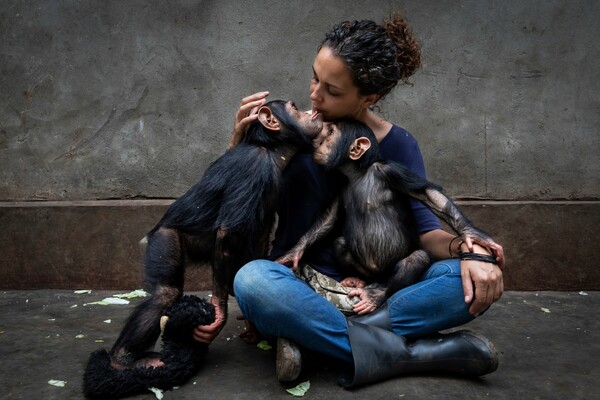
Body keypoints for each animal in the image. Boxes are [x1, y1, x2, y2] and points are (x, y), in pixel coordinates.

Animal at [102, 101, 324, 372]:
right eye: (294, 107)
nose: (310, 111)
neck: (274, 152)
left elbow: (259, 236)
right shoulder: (252, 167)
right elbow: (228, 232)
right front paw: (219, 310)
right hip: (164, 239)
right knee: (165, 294)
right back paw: (122, 359)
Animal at [278, 119, 500, 312]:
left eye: (331, 133)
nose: (320, 141)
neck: (358, 174)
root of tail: (379, 275)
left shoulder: (390, 171)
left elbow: (427, 194)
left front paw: (471, 234)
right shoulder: (340, 185)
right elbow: (330, 217)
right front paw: (294, 253)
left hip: (393, 271)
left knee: (415, 259)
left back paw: (376, 295)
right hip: (365, 269)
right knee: (340, 243)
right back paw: (356, 279)